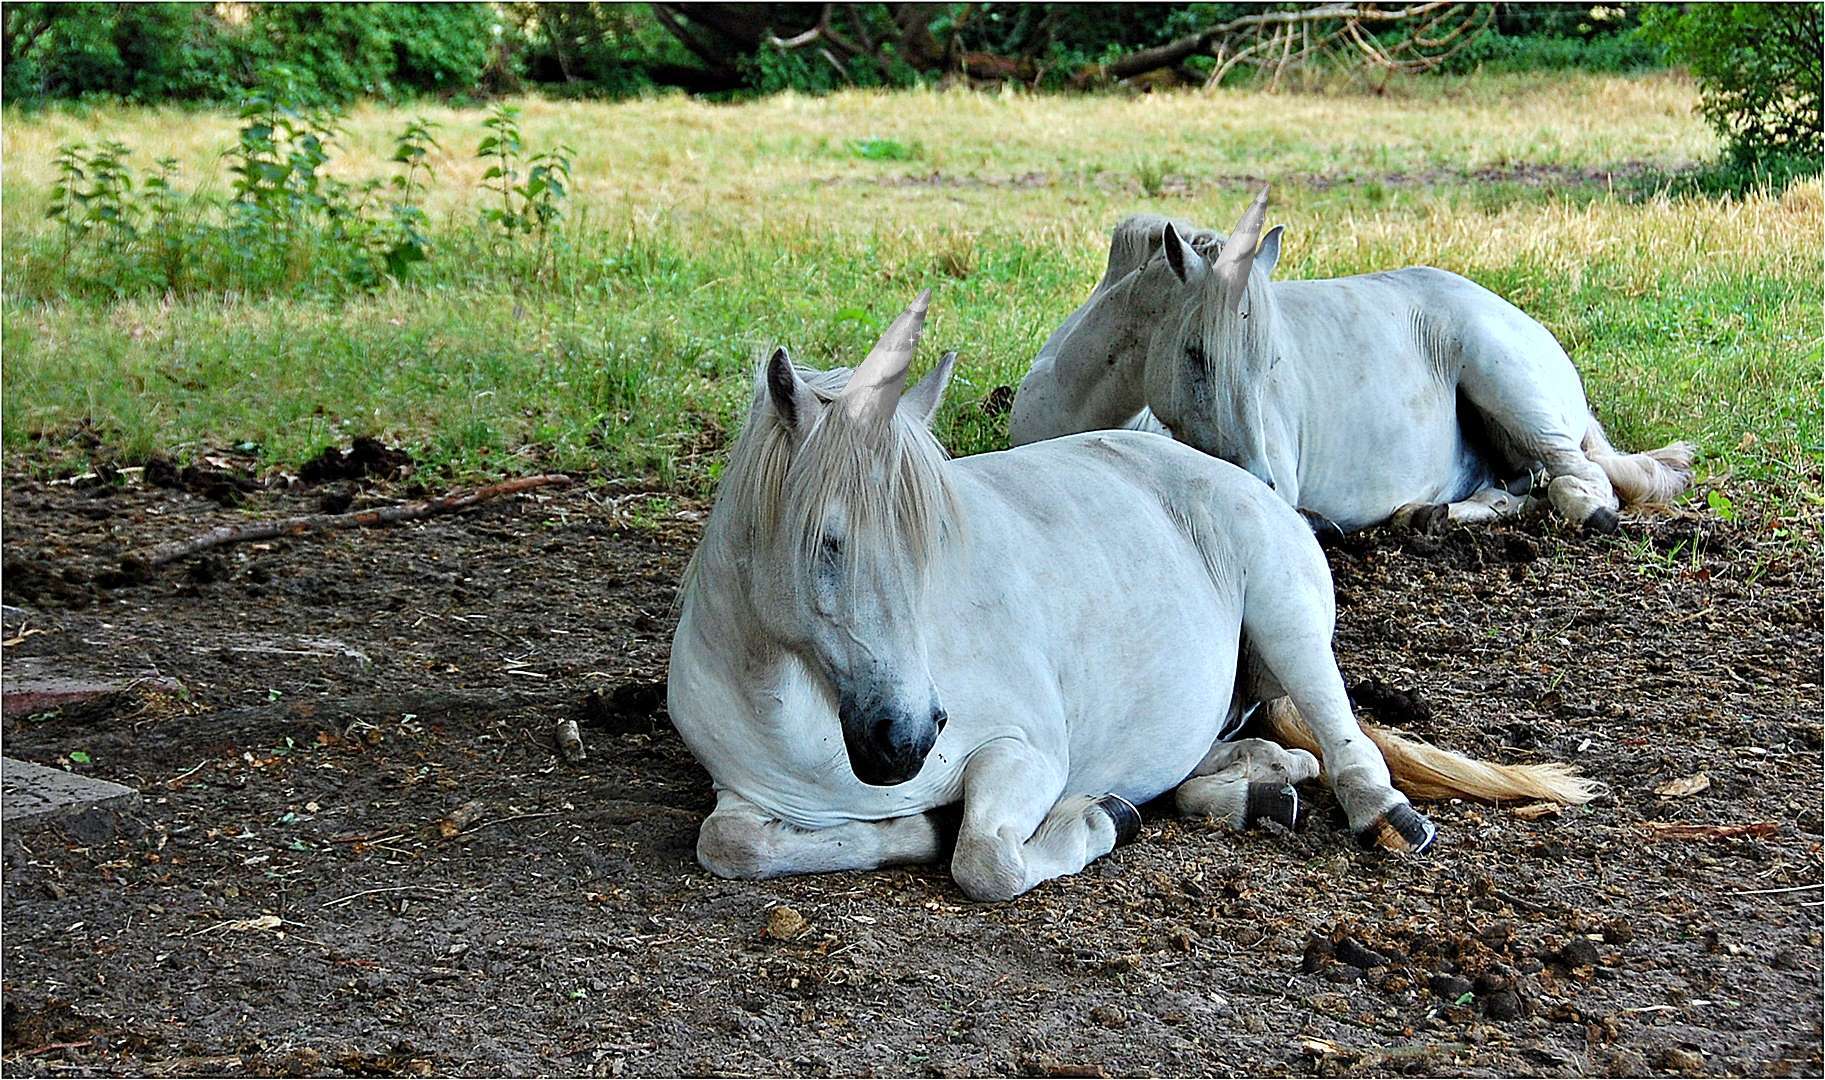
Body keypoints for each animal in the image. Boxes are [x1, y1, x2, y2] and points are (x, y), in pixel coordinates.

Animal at [667, 291, 1598, 897]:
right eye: (827, 543)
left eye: (933, 549)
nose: (908, 738)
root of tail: (1230, 472)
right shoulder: (744, 799)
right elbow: (731, 845)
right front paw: (917, 827)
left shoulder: (1023, 755)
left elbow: (985, 861)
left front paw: (1086, 826)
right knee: (1244, 757)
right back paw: (1258, 789)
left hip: (1287, 619)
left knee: (1339, 733)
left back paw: (1376, 814)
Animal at [1007, 191, 1686, 536]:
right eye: (1196, 356)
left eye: (1272, 363)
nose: (1260, 483)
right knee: (1514, 490)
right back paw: (1427, 514)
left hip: (1512, 390)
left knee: (1581, 485)